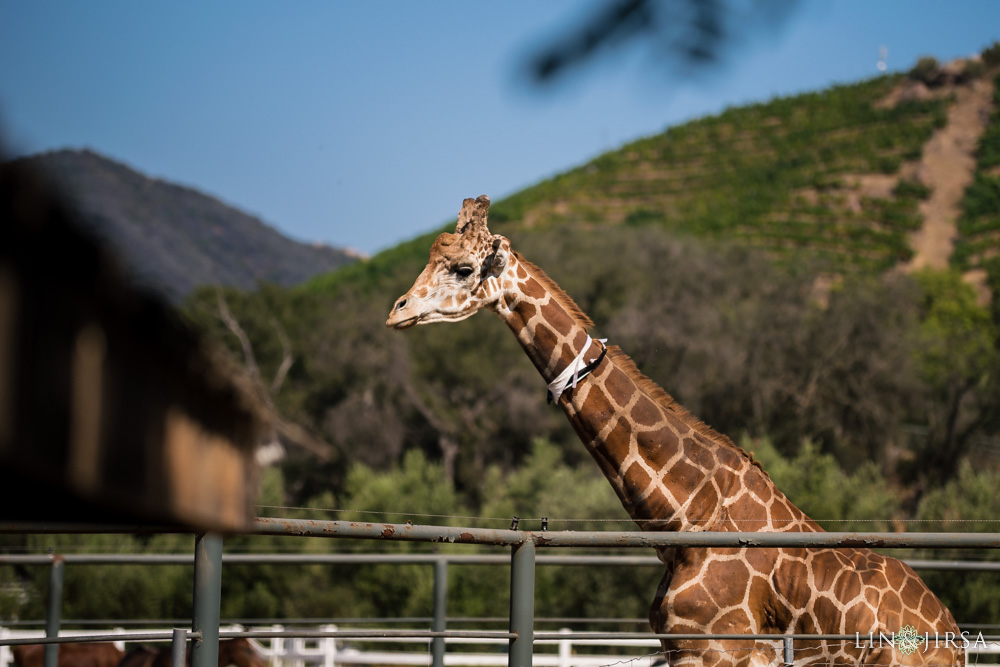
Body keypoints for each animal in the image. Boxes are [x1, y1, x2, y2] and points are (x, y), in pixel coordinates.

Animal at [384, 196, 960, 664]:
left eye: (462, 268)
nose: (396, 312)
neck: (686, 516)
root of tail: (953, 640)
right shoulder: (683, 648)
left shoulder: (716, 650)